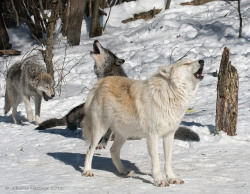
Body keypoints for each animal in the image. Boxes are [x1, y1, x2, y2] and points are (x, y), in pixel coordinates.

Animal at [81, 58, 204, 186]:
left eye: (193, 60)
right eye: (186, 63)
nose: (202, 61)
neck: (170, 94)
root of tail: (101, 82)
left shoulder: (169, 135)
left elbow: (168, 162)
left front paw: (172, 178)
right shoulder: (152, 136)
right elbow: (156, 162)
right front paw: (159, 181)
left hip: (123, 135)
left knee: (113, 150)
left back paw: (123, 171)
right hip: (100, 130)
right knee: (90, 150)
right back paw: (87, 171)